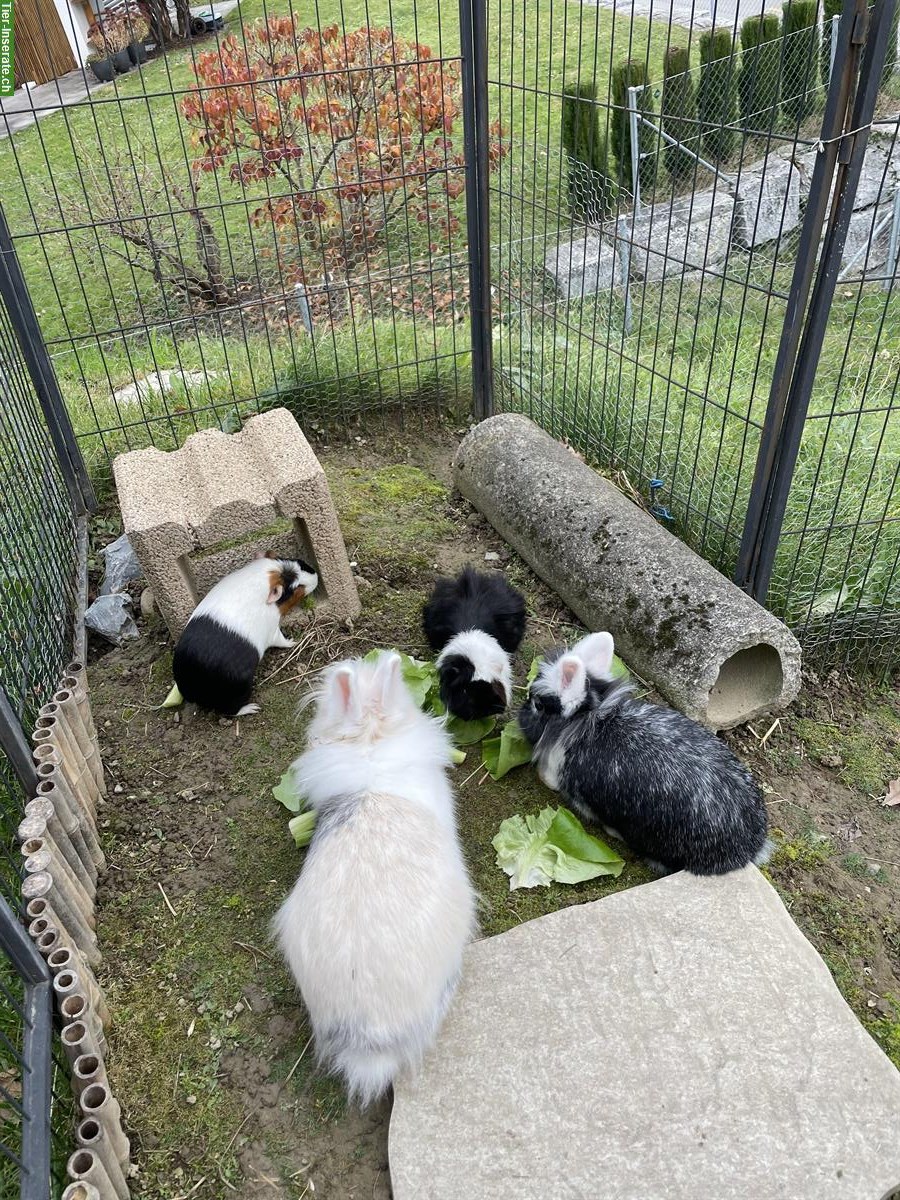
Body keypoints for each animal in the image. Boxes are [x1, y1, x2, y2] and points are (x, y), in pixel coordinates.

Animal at [172, 553, 318, 717]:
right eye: (296, 587)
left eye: (298, 562)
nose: (316, 576)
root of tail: (189, 689)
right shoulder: (273, 631)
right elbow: (282, 641)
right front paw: (294, 641)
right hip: (239, 691)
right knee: (231, 711)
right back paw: (252, 708)